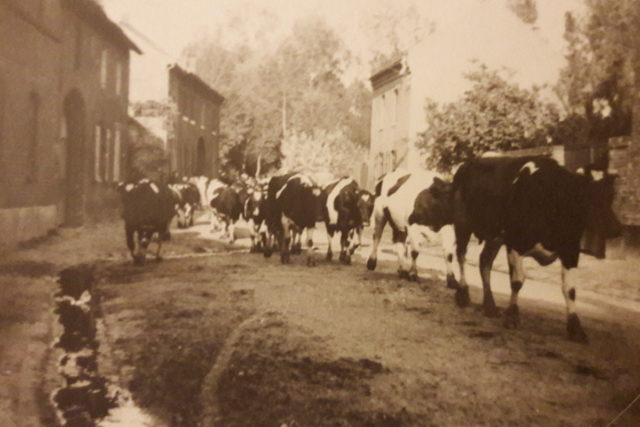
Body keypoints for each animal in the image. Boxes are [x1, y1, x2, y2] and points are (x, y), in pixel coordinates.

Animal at [450, 157, 620, 344]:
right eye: (586, 195)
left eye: (612, 194)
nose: (615, 228)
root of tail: (469, 162)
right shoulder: (515, 243)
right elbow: (517, 281)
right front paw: (512, 316)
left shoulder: (570, 250)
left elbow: (570, 289)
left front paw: (576, 329)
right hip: (463, 224)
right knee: (461, 255)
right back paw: (463, 294)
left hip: (495, 236)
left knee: (484, 261)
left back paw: (490, 306)